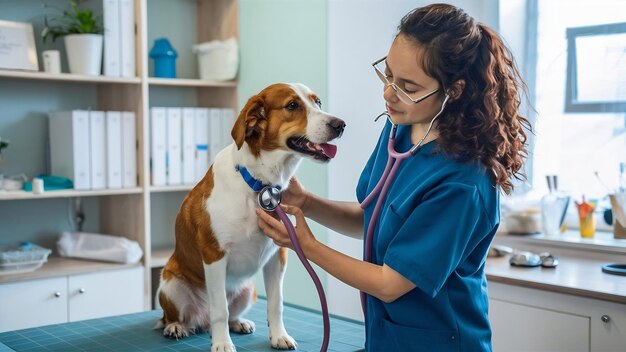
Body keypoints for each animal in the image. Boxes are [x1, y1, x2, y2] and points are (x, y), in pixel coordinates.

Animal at [154, 83, 344, 352]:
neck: (258, 184)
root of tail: (200, 321)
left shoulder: (278, 254)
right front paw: (222, 343)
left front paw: (279, 336)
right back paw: (177, 326)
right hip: (170, 285)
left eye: (317, 102)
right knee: (180, 316)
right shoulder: (214, 255)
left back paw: (239, 323)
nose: (340, 125)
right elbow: (220, 310)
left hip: (248, 290)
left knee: (230, 313)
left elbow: (276, 303)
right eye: (292, 105)